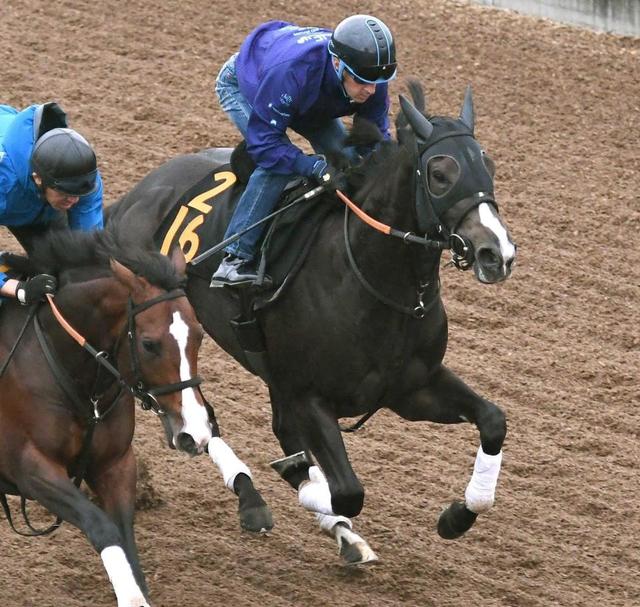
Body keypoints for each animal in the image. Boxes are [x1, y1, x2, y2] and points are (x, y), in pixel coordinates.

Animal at [0, 229, 215, 607]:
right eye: (149, 344)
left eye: (199, 335)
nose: (196, 431)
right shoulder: (30, 468)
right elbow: (101, 526)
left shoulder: (115, 463)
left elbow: (125, 537)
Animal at [105, 82, 516, 564]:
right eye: (440, 173)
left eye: (487, 165)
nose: (497, 253)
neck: (375, 285)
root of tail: (130, 199)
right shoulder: (309, 396)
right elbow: (347, 490)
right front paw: (306, 484)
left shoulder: (411, 389)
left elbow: (493, 420)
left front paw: (456, 516)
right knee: (198, 420)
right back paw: (254, 494)